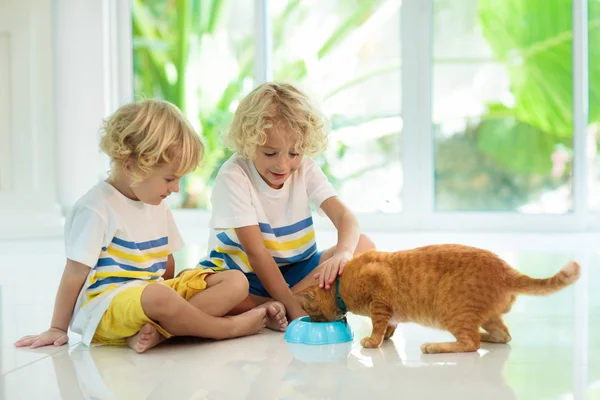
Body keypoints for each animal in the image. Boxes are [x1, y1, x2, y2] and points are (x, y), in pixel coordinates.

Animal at [298, 244, 580, 354]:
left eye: (314, 315)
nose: (314, 322)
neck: (341, 283)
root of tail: (504, 267)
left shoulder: (379, 302)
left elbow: (378, 326)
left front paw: (373, 341)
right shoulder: (390, 311)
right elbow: (390, 325)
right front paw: (387, 337)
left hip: (450, 310)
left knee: (470, 343)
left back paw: (435, 346)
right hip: (487, 317)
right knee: (502, 335)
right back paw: (486, 338)